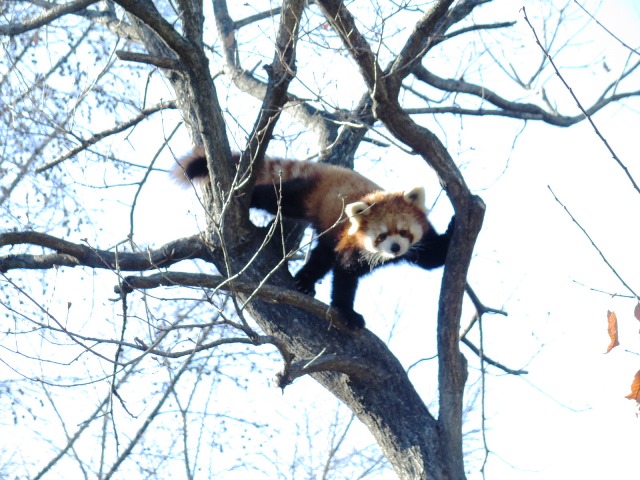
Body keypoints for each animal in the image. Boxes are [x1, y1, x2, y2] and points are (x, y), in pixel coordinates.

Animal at [174, 148, 456, 330]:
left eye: (403, 232)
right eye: (382, 236)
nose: (396, 248)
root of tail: (327, 168)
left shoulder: (418, 243)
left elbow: (433, 259)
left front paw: (454, 226)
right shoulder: (353, 246)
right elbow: (344, 274)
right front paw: (347, 312)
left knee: (322, 254)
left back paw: (305, 280)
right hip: (302, 195)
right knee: (274, 197)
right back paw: (243, 195)